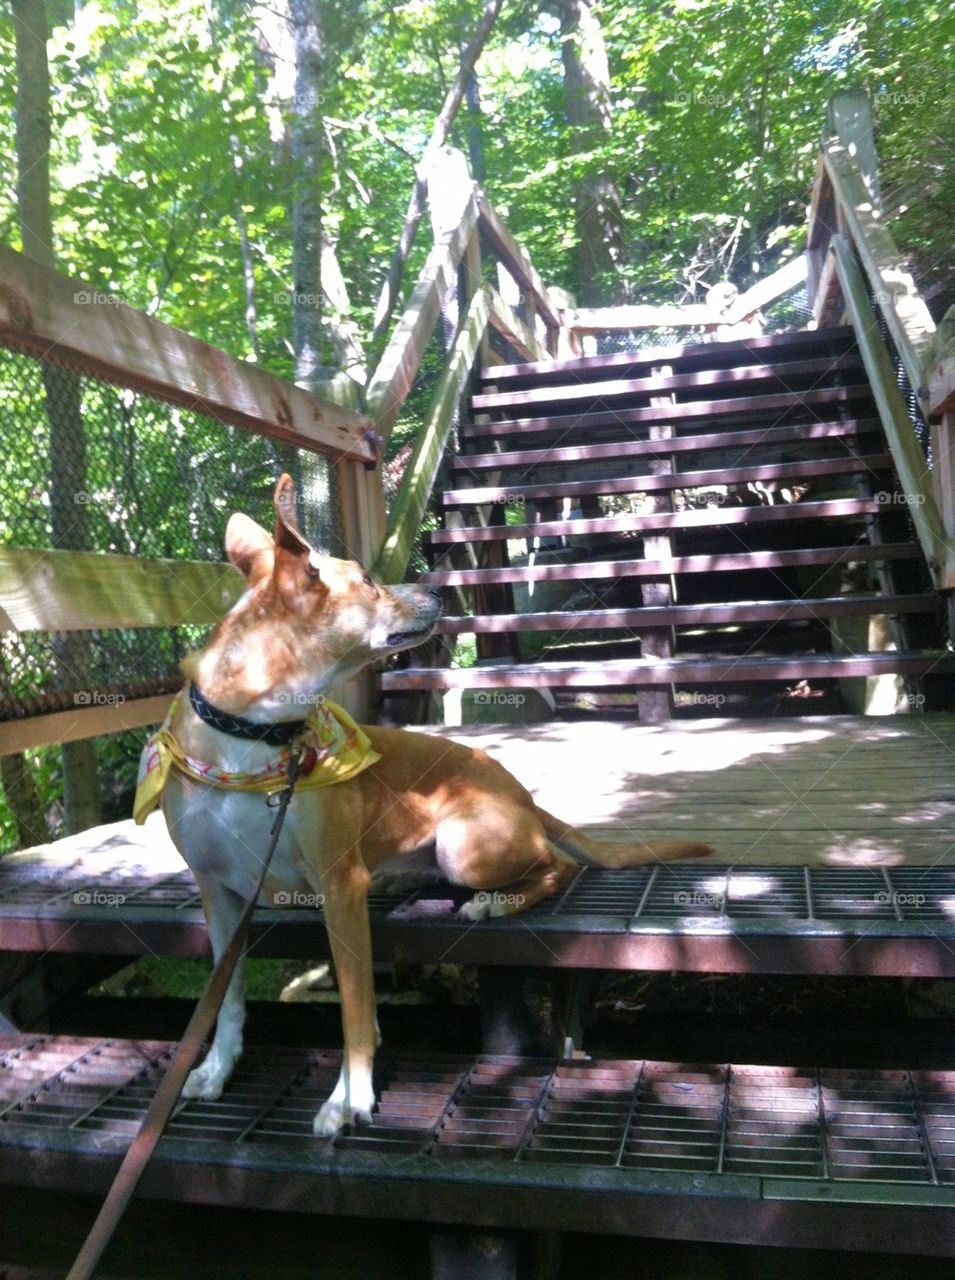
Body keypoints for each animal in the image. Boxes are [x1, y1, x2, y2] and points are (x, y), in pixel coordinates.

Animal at [139, 476, 706, 1136]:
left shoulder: (339, 885)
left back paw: (494, 904)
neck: (255, 733)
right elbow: (224, 999)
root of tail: (522, 795)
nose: (436, 589)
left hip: (464, 847)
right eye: (367, 580)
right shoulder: (219, 893)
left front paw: (350, 1097)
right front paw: (215, 1068)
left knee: (560, 865)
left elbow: (356, 1009)